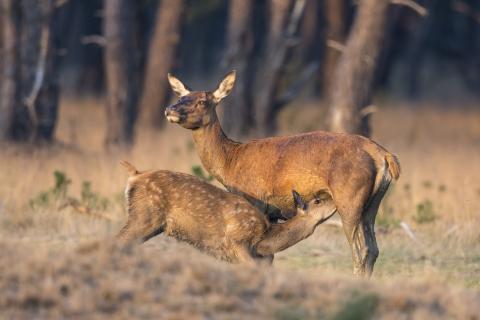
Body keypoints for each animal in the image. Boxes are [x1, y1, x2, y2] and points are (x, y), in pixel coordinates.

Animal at [165, 71, 402, 276]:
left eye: (202, 101)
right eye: (182, 96)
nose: (170, 110)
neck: (230, 163)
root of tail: (384, 156)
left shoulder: (256, 199)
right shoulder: (273, 211)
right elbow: (268, 256)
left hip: (349, 198)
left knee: (360, 250)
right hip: (373, 203)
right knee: (373, 249)